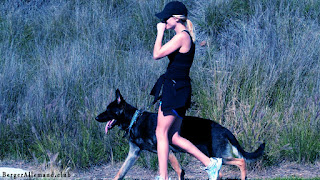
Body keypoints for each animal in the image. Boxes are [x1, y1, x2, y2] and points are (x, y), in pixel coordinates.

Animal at [95, 90, 264, 180]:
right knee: (227, 169)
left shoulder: (167, 150)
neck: (135, 120)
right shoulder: (133, 154)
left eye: (108, 110)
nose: (96, 118)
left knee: (240, 162)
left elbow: (178, 171)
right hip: (212, 155)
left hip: (216, 155)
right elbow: (120, 173)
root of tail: (223, 128)